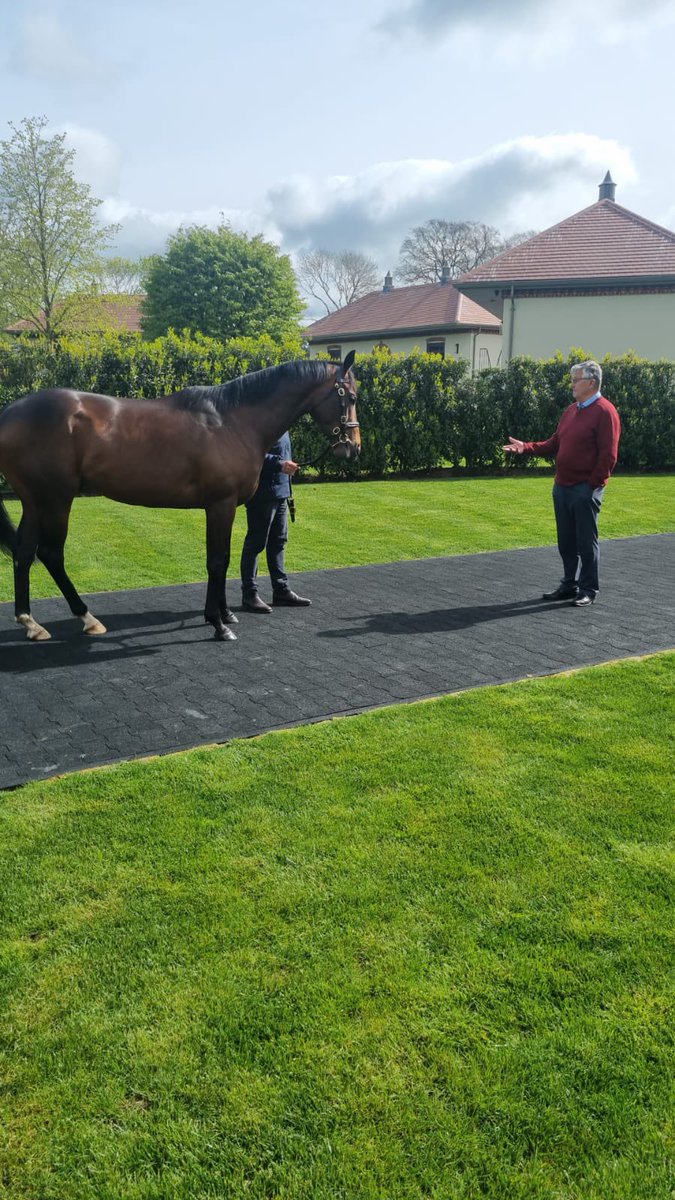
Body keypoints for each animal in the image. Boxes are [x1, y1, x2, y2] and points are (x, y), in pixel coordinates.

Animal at [0, 350, 357, 643]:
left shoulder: (222, 507)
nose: (353, 447)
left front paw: (225, 613)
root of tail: (9, 414)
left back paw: (31, 623)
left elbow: (223, 558)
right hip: (56, 500)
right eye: (351, 395)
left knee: (23, 552)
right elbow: (218, 560)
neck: (233, 420)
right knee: (50, 554)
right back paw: (86, 617)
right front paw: (218, 624)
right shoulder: (220, 505)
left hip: (34, 501)